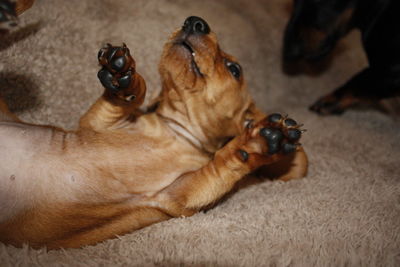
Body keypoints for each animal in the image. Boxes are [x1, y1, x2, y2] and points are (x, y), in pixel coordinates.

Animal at [0, 16, 310, 249]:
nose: (195, 21)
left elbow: (221, 163)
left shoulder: (178, 196)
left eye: (234, 69)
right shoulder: (94, 124)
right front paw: (123, 79)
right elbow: (119, 102)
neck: (175, 130)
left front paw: (258, 142)